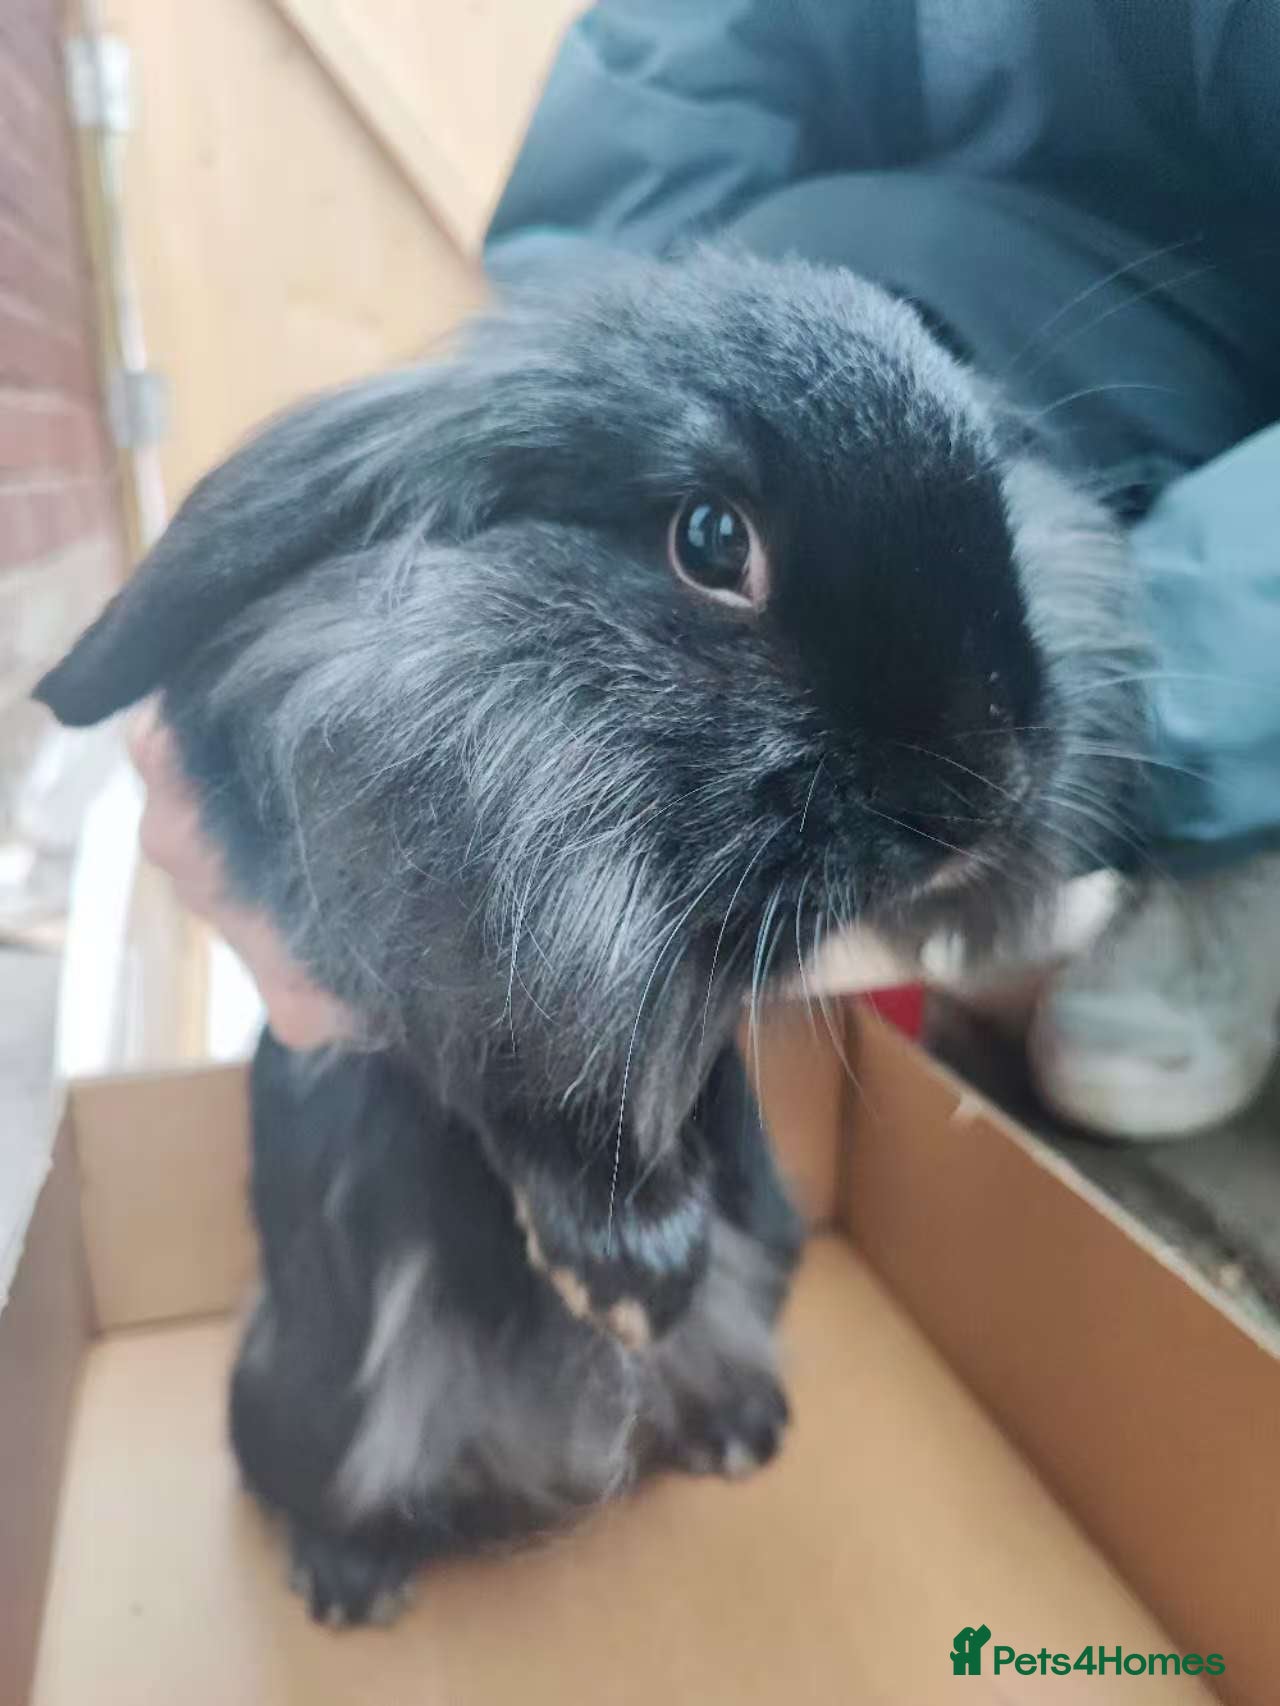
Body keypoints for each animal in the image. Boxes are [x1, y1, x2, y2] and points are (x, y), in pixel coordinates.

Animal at [36, 248, 1143, 1624]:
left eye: (998, 501)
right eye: (711, 539)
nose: (982, 794)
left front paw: (643, 1275)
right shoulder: (437, 960)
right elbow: (522, 1086)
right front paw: (624, 1271)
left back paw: (731, 1429)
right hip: (300, 1394)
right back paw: (352, 1579)